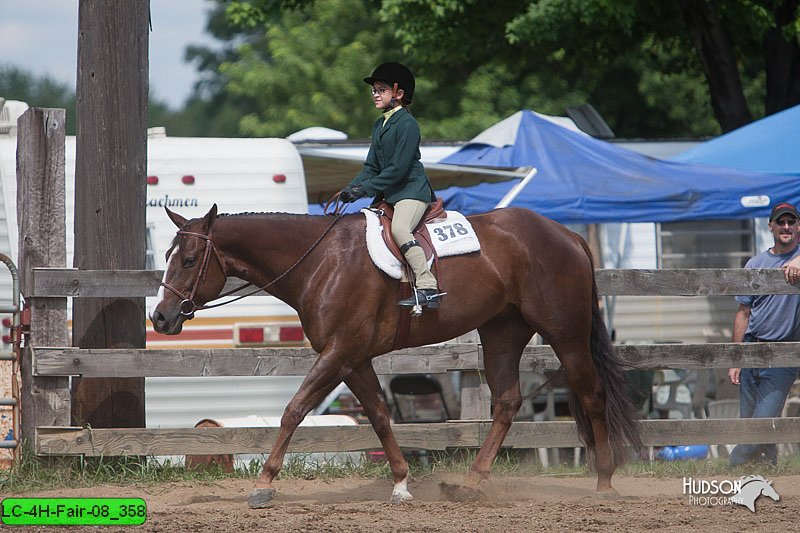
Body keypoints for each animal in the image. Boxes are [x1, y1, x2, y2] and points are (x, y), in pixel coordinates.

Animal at [152, 204, 644, 508]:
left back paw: (604, 481)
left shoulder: (339, 352)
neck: (320, 260)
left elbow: (294, 409)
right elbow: (379, 416)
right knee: (507, 402)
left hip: (565, 335)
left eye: (190, 259)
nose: (160, 317)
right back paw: (471, 482)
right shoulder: (353, 359)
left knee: (591, 394)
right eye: (169, 255)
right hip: (502, 334)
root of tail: (566, 234)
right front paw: (403, 484)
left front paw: (264, 484)